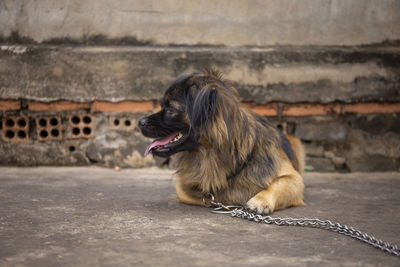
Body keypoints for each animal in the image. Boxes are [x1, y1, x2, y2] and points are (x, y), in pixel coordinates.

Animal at [139, 69, 304, 216]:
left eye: (170, 109)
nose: (140, 122)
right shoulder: (185, 187)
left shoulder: (293, 178)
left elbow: (280, 183)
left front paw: (259, 201)